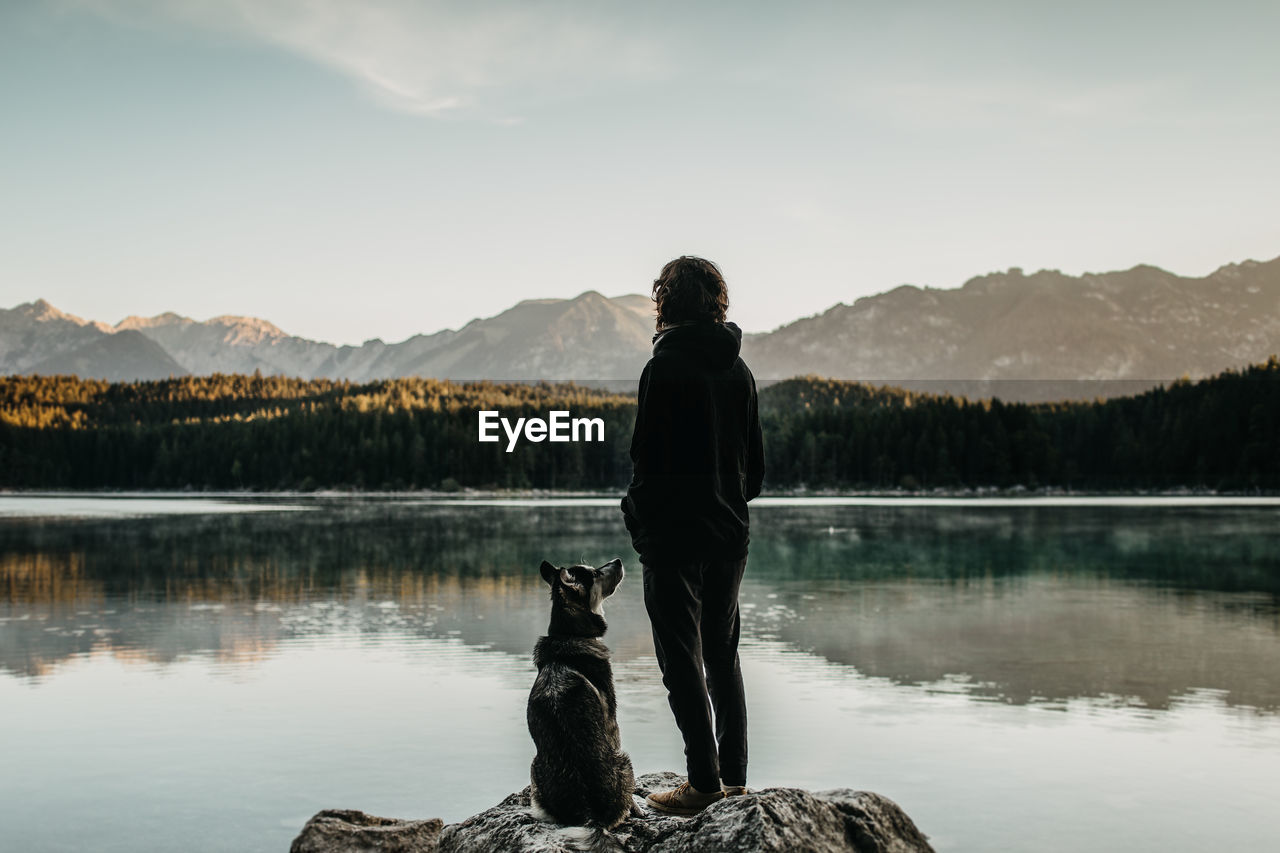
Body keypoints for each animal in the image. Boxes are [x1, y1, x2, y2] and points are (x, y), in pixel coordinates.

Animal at [524, 558, 640, 845]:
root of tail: (588, 813)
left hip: (535, 769)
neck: (570, 635)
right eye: (595, 573)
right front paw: (637, 806)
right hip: (625, 761)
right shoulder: (611, 719)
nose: (618, 561)